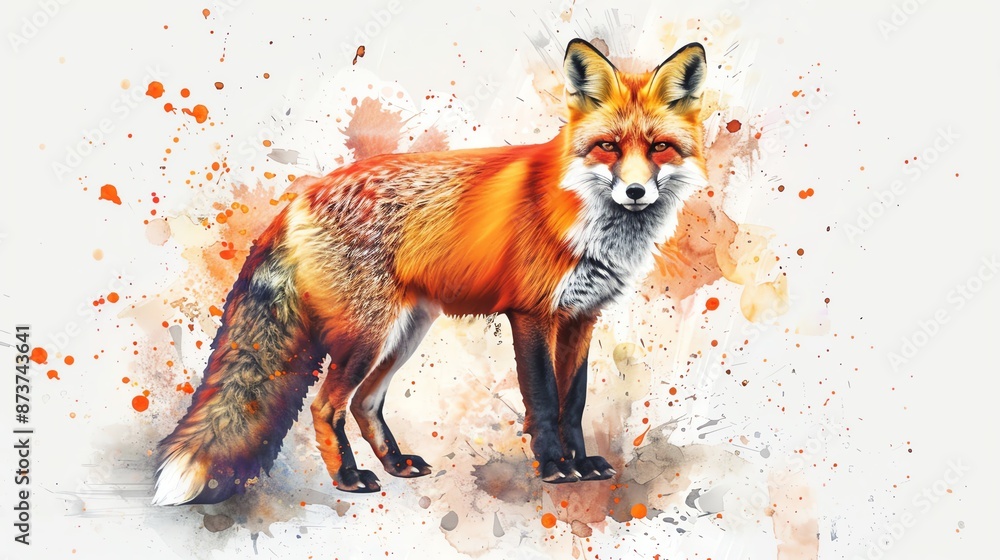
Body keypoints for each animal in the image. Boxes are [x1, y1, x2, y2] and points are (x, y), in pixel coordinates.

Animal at [153, 38, 709, 505]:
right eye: (608, 146)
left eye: (659, 147)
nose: (635, 192)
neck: (586, 220)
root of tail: (300, 197)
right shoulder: (531, 314)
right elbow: (545, 401)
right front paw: (554, 467)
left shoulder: (581, 317)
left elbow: (574, 403)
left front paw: (584, 463)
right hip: (367, 336)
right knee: (326, 407)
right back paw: (349, 478)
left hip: (404, 333)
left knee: (364, 403)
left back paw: (396, 464)